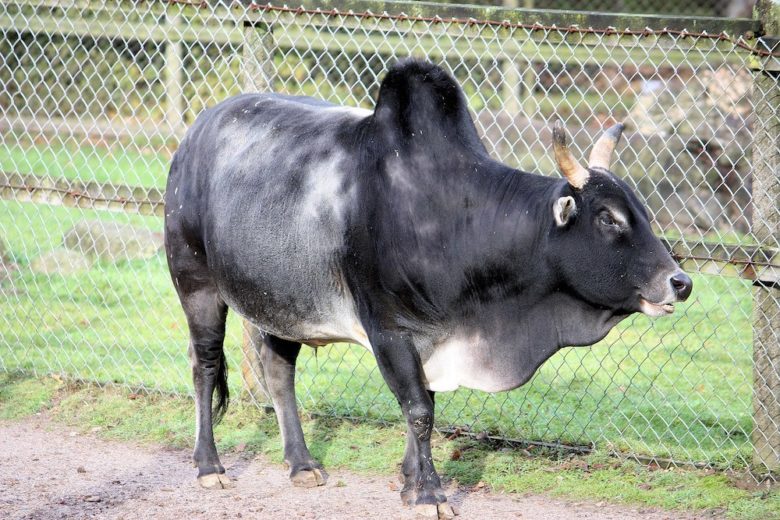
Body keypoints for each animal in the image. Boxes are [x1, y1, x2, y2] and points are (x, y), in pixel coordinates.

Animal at [165, 60, 688, 516]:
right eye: (608, 218)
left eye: (641, 211)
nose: (680, 283)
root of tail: (194, 132)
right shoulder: (389, 330)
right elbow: (418, 409)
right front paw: (430, 494)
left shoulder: (431, 340)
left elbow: (426, 405)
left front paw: (409, 481)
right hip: (197, 285)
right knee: (204, 365)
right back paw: (210, 466)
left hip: (283, 303)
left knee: (277, 370)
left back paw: (302, 464)